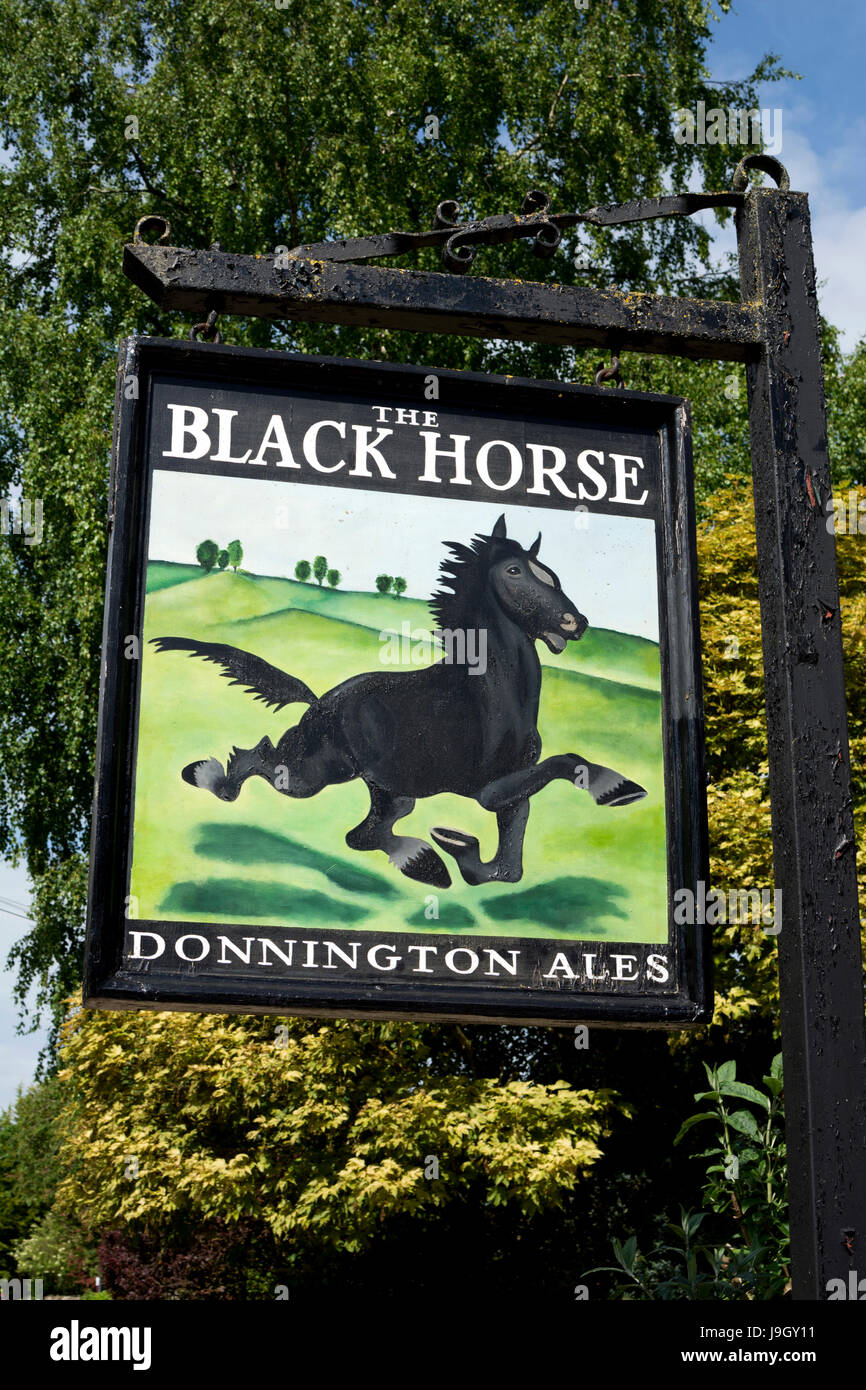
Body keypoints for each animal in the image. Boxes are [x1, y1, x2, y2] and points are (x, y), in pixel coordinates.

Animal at [152, 514, 647, 889]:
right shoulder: (483, 788)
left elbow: (508, 867)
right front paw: (617, 788)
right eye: (514, 571)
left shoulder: (513, 795)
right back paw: (204, 774)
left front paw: (455, 845)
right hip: (316, 775)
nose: (575, 623)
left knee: (363, 833)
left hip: (388, 790)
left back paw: (424, 862)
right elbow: (559, 766)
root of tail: (320, 702)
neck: (488, 696)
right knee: (260, 759)